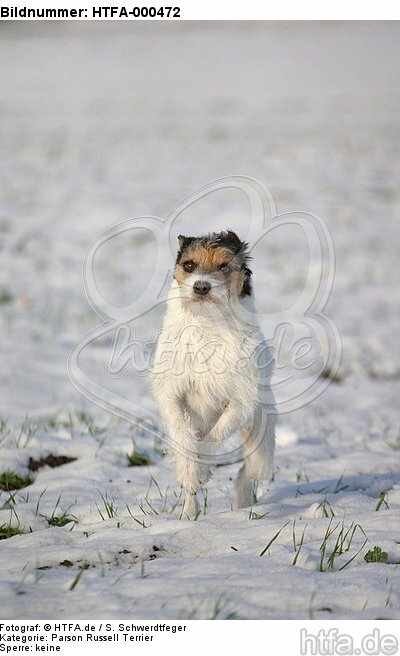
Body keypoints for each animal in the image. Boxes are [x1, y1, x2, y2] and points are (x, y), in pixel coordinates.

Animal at [150, 231, 276, 516]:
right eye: (189, 265)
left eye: (224, 266)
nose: (201, 286)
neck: (206, 323)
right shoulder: (170, 394)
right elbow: (182, 434)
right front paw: (190, 472)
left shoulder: (240, 403)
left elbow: (213, 437)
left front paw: (201, 469)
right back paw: (188, 512)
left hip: (261, 447)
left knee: (244, 475)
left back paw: (242, 506)